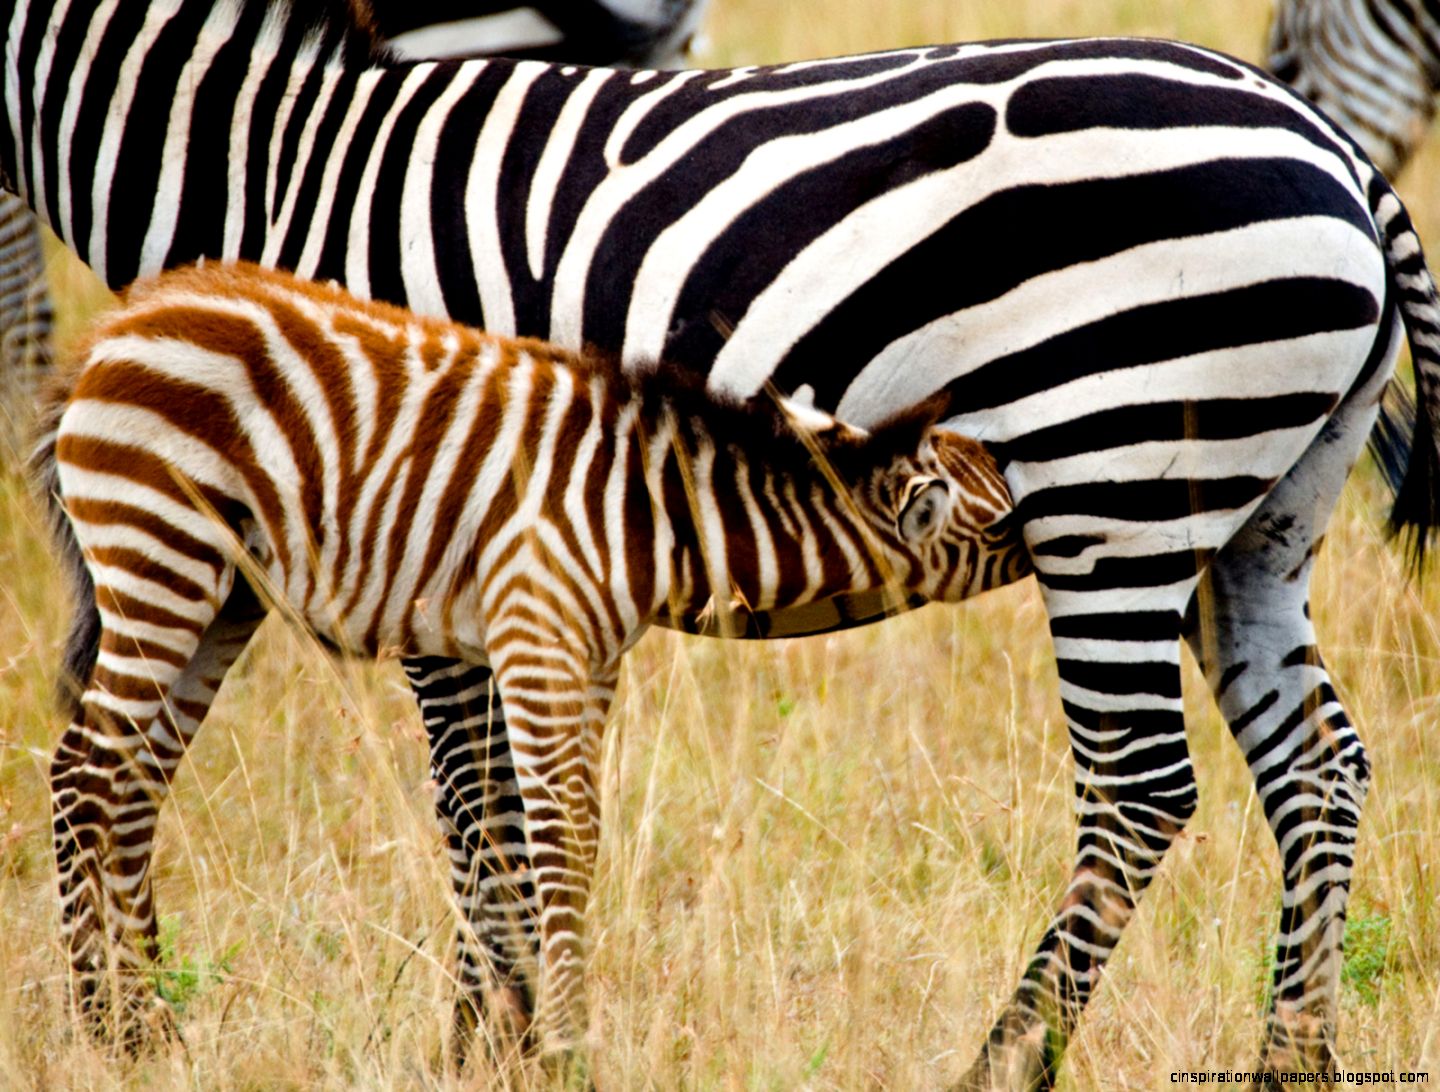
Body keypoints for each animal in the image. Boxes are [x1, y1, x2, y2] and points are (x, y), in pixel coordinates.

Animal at [32, 258, 1027, 1057]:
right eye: (1005, 523)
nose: (1063, 529)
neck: (654, 512)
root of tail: (116, 329)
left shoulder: (589, 658)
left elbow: (578, 838)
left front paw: (545, 1035)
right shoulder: (535, 634)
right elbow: (557, 834)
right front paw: (568, 1047)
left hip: (219, 597)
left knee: (135, 783)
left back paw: (156, 1027)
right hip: (159, 552)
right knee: (85, 772)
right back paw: (101, 1029)